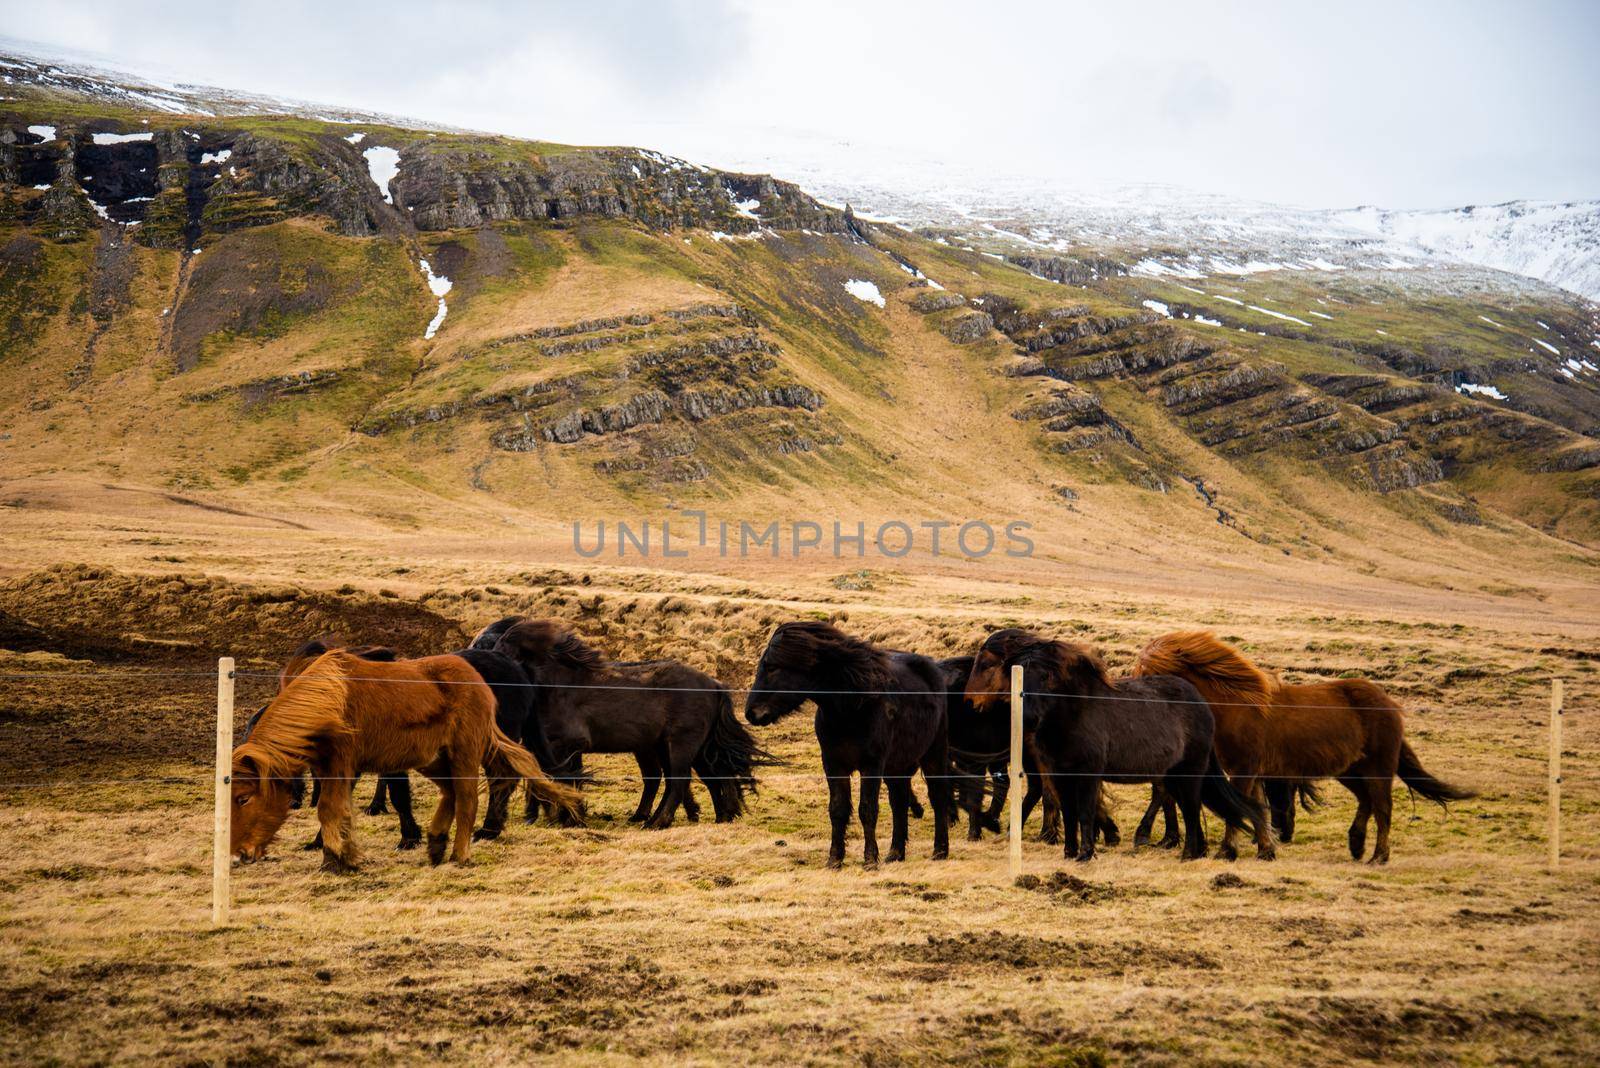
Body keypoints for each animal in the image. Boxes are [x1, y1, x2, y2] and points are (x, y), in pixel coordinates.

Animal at [233, 645, 585, 869]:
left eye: (243, 798)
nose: (240, 854)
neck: (329, 701)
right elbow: (338, 807)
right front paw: (340, 854)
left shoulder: (343, 765)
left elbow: (335, 806)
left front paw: (337, 858)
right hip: (434, 759)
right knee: (452, 793)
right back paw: (437, 842)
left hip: (465, 753)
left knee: (472, 796)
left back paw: (463, 851)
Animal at [496, 617, 777, 824]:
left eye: (504, 645)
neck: (560, 685)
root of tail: (715, 685)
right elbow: (566, 778)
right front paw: (568, 816)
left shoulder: (564, 745)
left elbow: (562, 778)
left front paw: (566, 817)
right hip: (689, 747)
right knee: (711, 776)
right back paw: (719, 817)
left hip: (681, 743)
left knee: (680, 780)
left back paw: (657, 822)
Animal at [745, 620, 947, 863]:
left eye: (772, 667)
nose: (751, 713)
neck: (853, 708)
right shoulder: (834, 765)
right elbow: (838, 809)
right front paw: (835, 859)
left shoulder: (871, 765)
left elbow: (867, 810)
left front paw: (870, 859)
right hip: (896, 766)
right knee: (898, 801)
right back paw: (895, 853)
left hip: (933, 755)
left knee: (937, 797)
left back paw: (940, 850)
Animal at [953, 629, 1267, 863]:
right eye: (1018, 675)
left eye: (1047, 677)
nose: (969, 702)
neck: (1074, 714)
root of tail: (1202, 705)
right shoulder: (1059, 773)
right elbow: (1068, 810)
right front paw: (1071, 851)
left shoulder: (1087, 773)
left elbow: (1083, 809)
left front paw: (1087, 851)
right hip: (1173, 774)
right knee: (1179, 802)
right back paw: (1195, 849)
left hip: (1188, 772)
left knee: (1189, 806)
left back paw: (1187, 852)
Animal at [1132, 629, 1465, 863]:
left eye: (1147, 673)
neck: (1235, 705)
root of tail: (1390, 704)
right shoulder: (1255, 772)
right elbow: (1257, 808)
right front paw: (1266, 851)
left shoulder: (1243, 769)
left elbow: (1239, 807)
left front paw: (1227, 851)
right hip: (1350, 771)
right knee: (1366, 801)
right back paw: (1356, 845)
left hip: (1378, 767)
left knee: (1383, 808)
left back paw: (1377, 856)